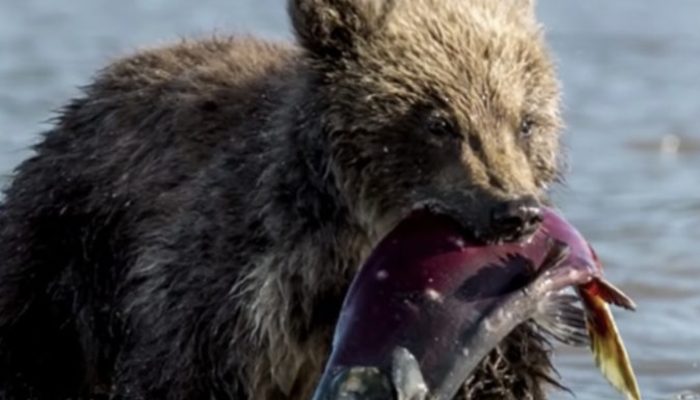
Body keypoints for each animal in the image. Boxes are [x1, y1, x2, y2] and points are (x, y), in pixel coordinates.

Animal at [0, 0, 564, 399]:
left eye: (526, 122)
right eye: (440, 123)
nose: (515, 212)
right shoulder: (233, 291)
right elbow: (177, 370)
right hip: (63, 255)